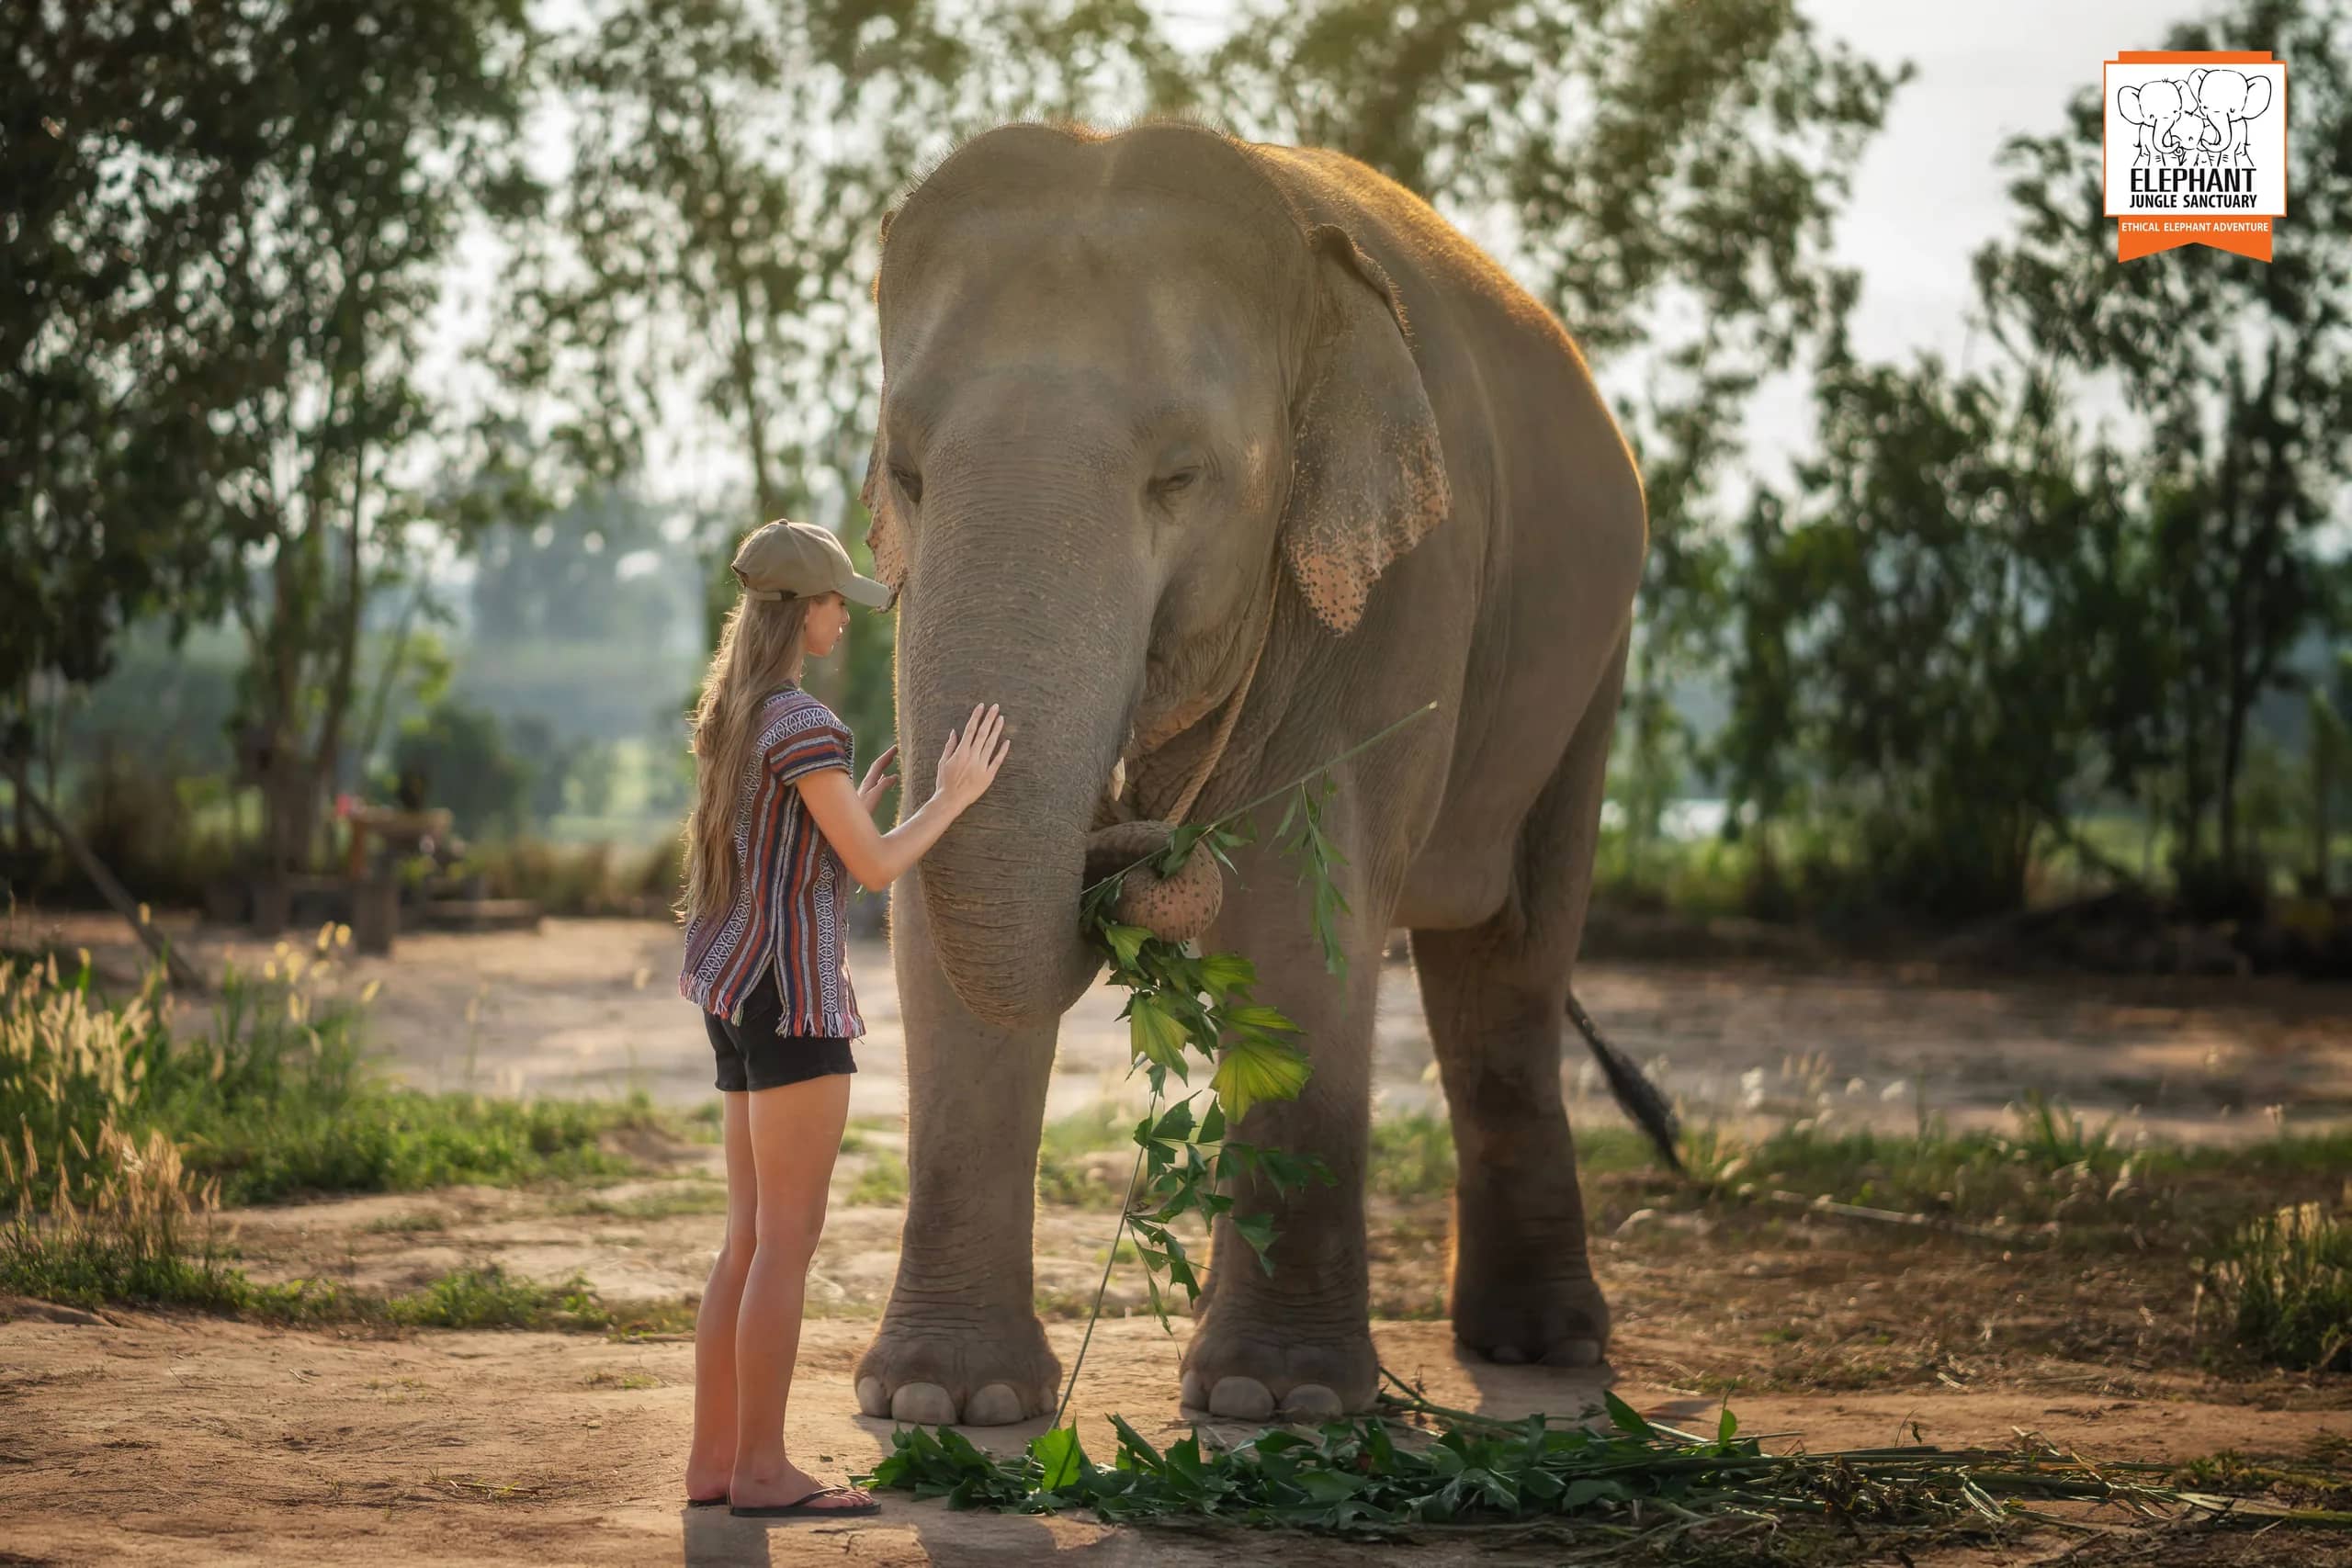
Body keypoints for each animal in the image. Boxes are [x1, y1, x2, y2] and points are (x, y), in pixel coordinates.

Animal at [848, 118, 1674, 1427]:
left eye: (1180, 477)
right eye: (907, 473)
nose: (1123, 853)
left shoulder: (1403, 586)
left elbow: (1295, 903)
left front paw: (1273, 1401)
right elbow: (933, 902)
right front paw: (939, 1404)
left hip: (1590, 663)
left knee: (1509, 964)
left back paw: (1539, 1349)